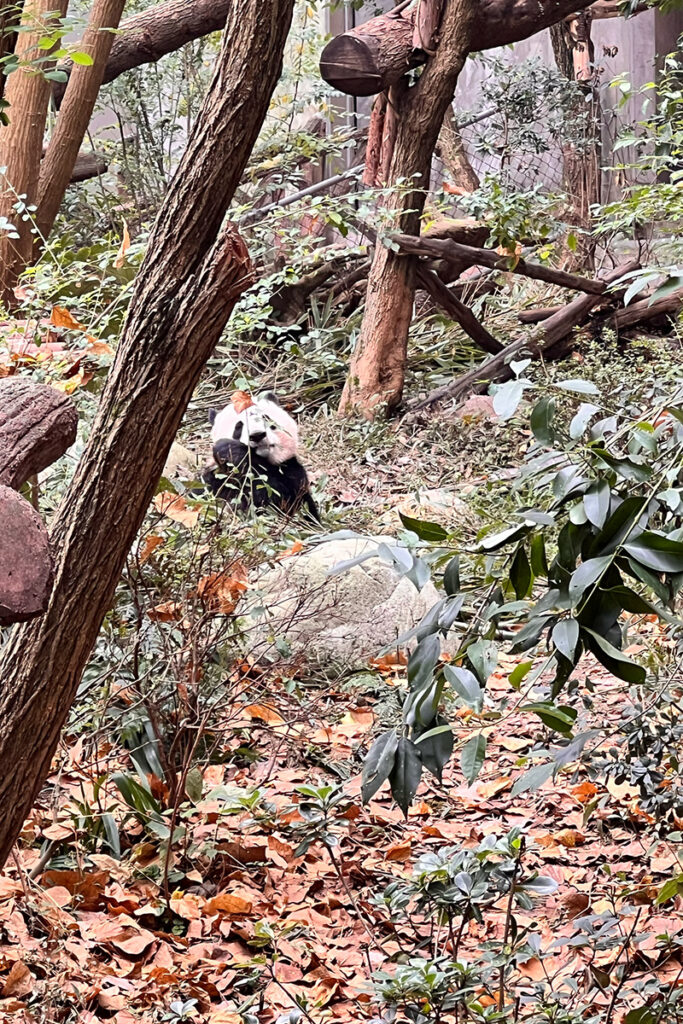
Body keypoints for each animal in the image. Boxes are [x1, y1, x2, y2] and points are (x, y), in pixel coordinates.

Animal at [202, 389, 321, 524]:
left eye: (266, 418)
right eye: (238, 426)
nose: (257, 435)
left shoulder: (292, 471)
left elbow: (283, 501)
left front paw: (229, 449)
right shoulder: (214, 480)